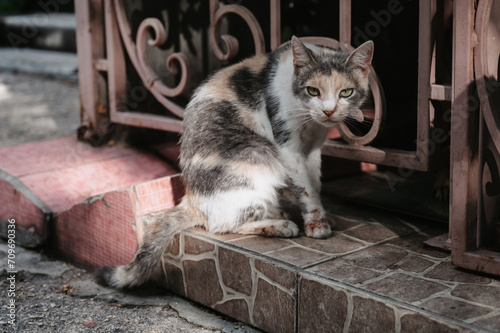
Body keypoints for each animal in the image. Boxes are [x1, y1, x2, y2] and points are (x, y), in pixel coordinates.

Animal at [95, 35, 374, 286]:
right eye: (313, 90)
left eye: (346, 92)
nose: (328, 110)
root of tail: (191, 198)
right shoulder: (287, 147)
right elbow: (305, 188)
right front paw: (317, 224)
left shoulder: (314, 148)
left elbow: (314, 183)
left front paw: (322, 216)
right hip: (259, 152)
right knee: (221, 224)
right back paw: (280, 225)